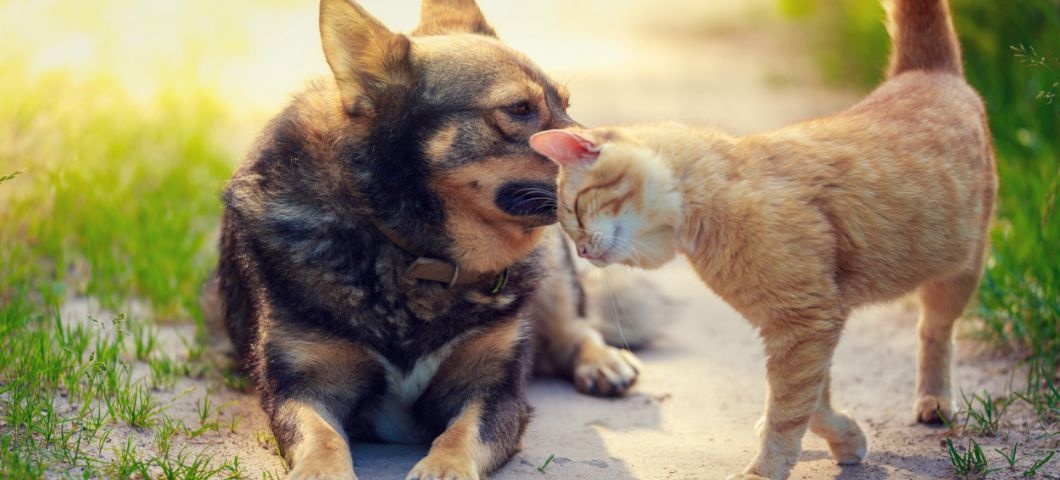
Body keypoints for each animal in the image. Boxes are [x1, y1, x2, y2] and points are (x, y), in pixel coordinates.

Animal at [203, 0, 640, 478]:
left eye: (565, 104)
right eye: (519, 108)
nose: (633, 157)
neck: (409, 249)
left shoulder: (493, 389)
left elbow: (460, 435)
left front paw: (444, 467)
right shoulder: (302, 386)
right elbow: (323, 439)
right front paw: (322, 470)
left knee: (571, 327)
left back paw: (604, 360)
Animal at [530, 0, 992, 478]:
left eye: (576, 210)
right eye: (569, 229)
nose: (582, 251)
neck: (711, 197)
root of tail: (925, 71)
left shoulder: (804, 324)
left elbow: (788, 409)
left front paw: (764, 468)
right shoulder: (807, 327)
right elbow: (812, 401)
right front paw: (846, 438)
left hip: (958, 273)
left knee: (933, 331)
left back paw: (934, 400)